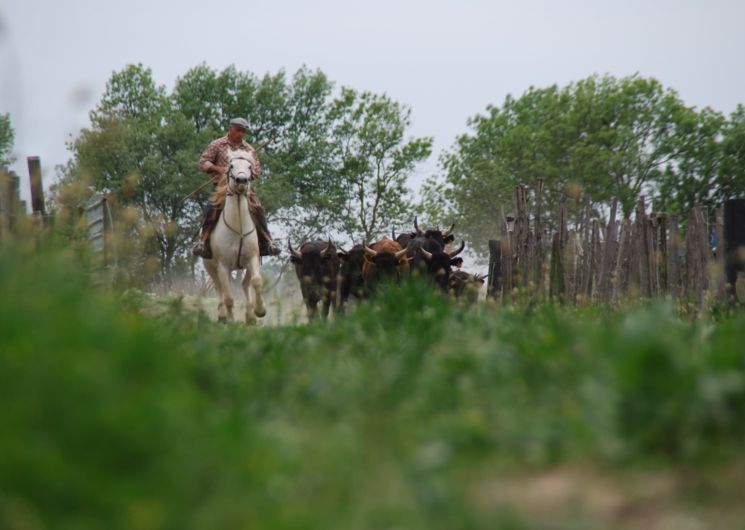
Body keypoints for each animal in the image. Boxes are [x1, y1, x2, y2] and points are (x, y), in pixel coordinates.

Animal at [201, 146, 264, 324]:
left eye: (249, 166)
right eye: (231, 166)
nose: (241, 181)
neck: (238, 226)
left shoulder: (252, 258)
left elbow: (257, 281)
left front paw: (260, 311)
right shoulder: (223, 266)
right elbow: (229, 297)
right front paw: (230, 320)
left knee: (244, 284)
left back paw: (250, 316)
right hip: (211, 267)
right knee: (220, 289)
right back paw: (223, 315)